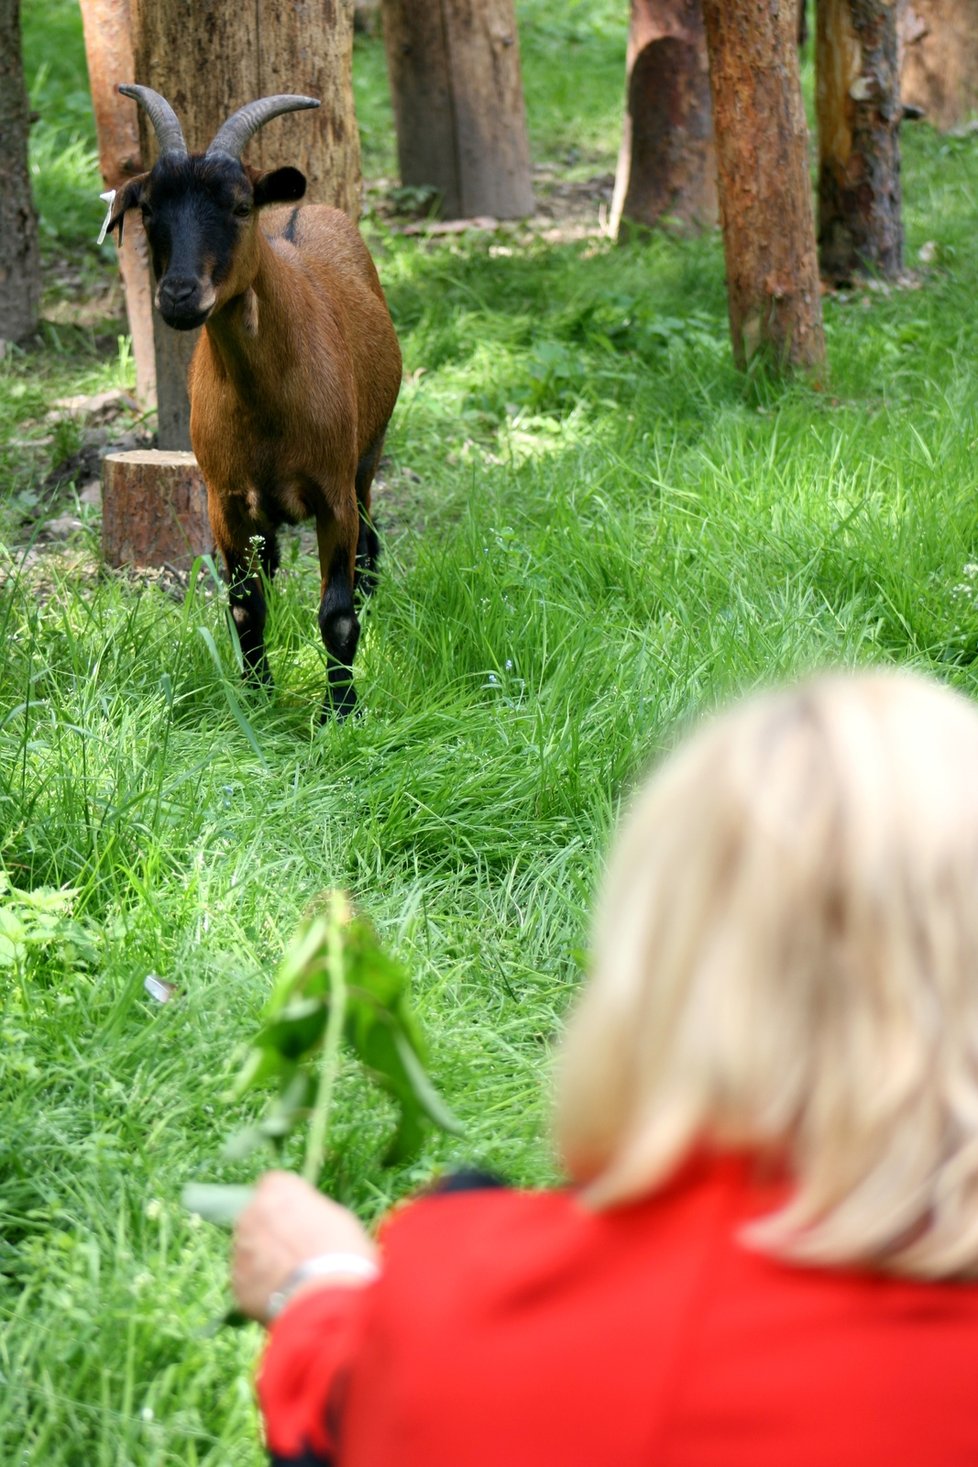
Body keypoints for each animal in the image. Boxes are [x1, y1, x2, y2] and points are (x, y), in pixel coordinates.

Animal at [112, 85, 404, 715]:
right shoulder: (223, 500)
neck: (268, 403)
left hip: (368, 455)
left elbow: (337, 614)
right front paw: (256, 698)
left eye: (241, 207)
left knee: (369, 543)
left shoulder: (333, 493)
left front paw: (341, 711)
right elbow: (246, 606)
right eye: (148, 210)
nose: (179, 294)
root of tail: (303, 209)